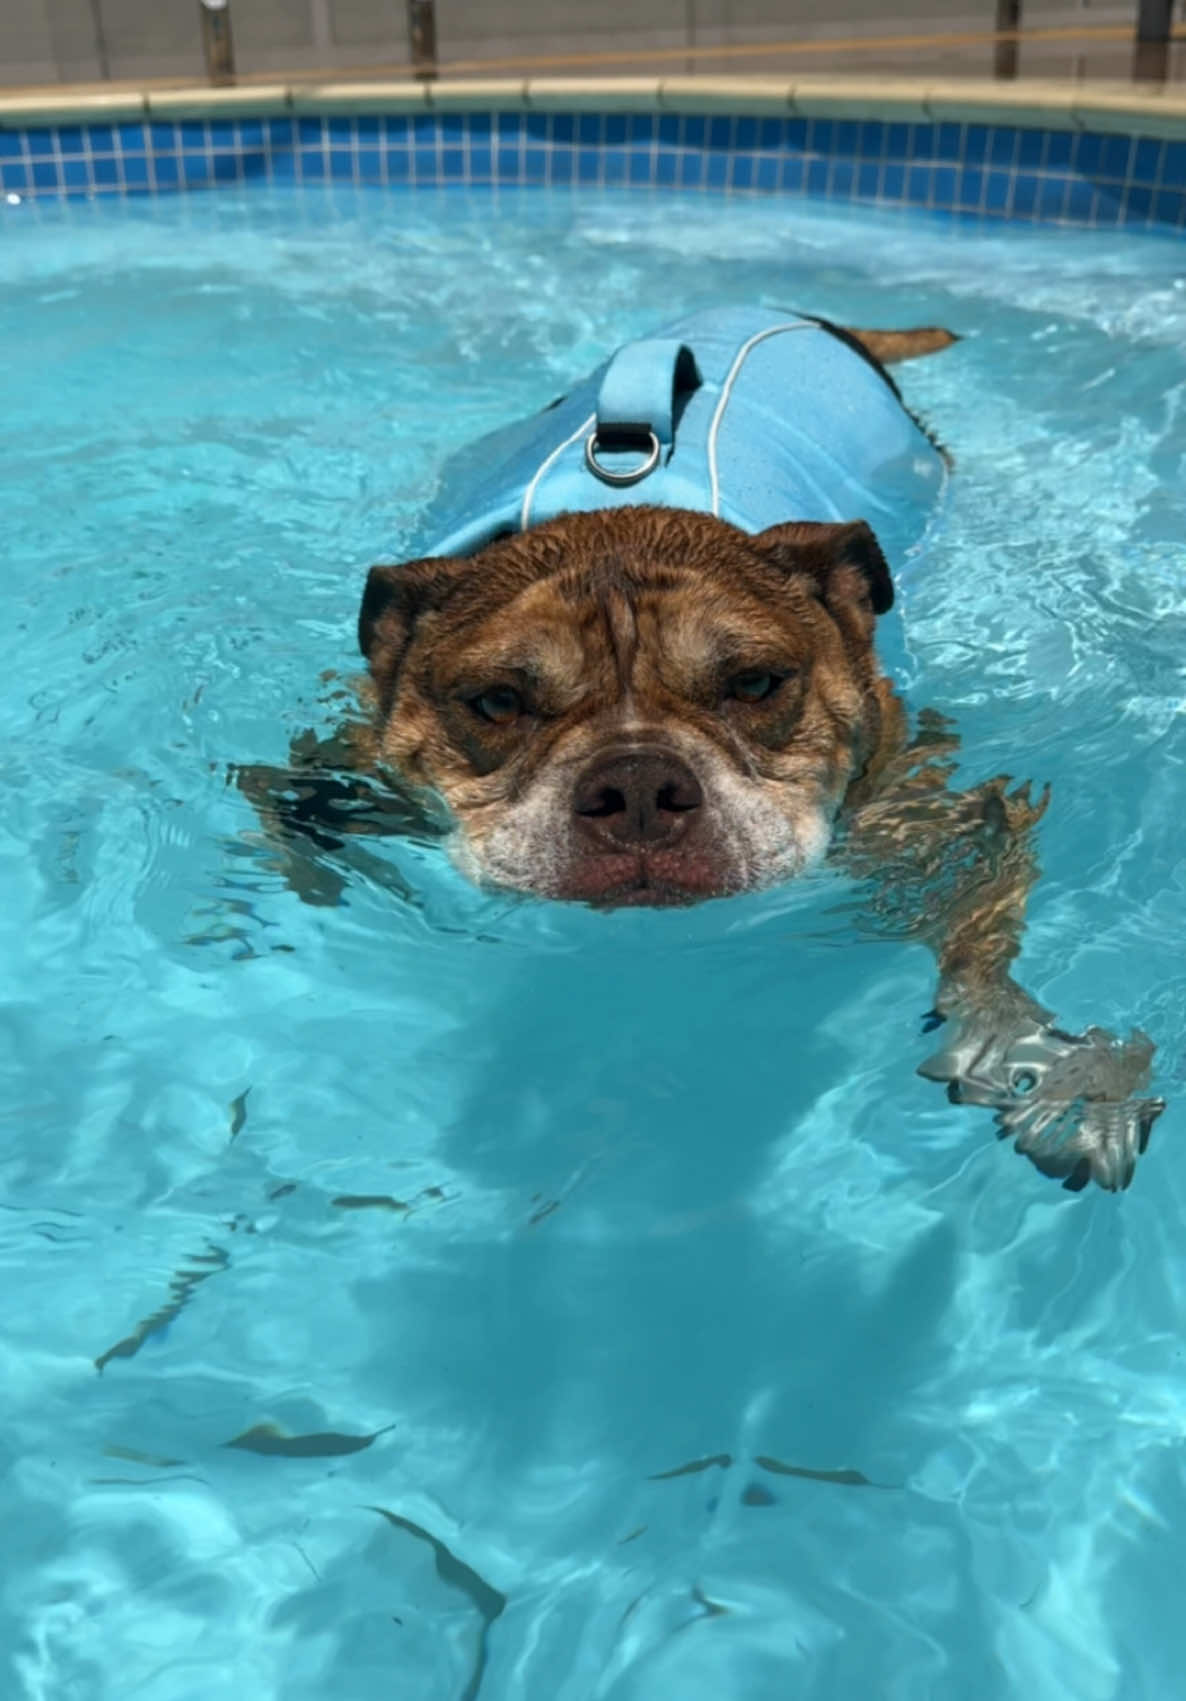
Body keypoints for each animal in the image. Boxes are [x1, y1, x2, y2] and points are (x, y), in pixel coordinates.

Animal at [236, 309, 1163, 1197]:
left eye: (754, 683)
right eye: (497, 701)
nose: (638, 783)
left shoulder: (952, 821)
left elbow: (982, 950)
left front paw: (1042, 1067)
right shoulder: (336, 760)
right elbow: (293, 845)